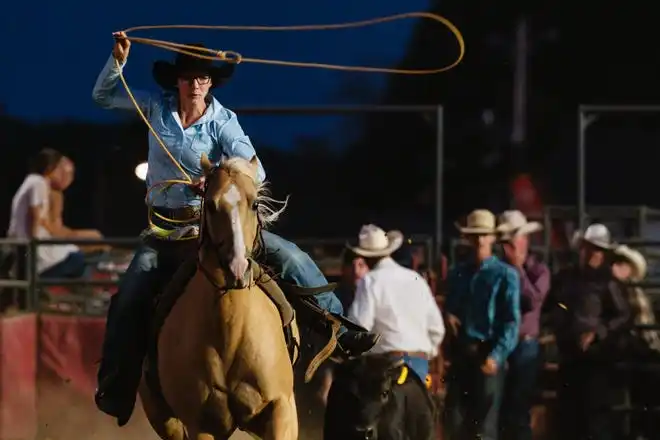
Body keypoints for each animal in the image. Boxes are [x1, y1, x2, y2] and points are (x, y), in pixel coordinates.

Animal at [141, 155, 302, 440]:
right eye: (211, 205)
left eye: (255, 203)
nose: (237, 268)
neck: (231, 331)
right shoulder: (202, 425)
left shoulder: (282, 407)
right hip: (164, 419)